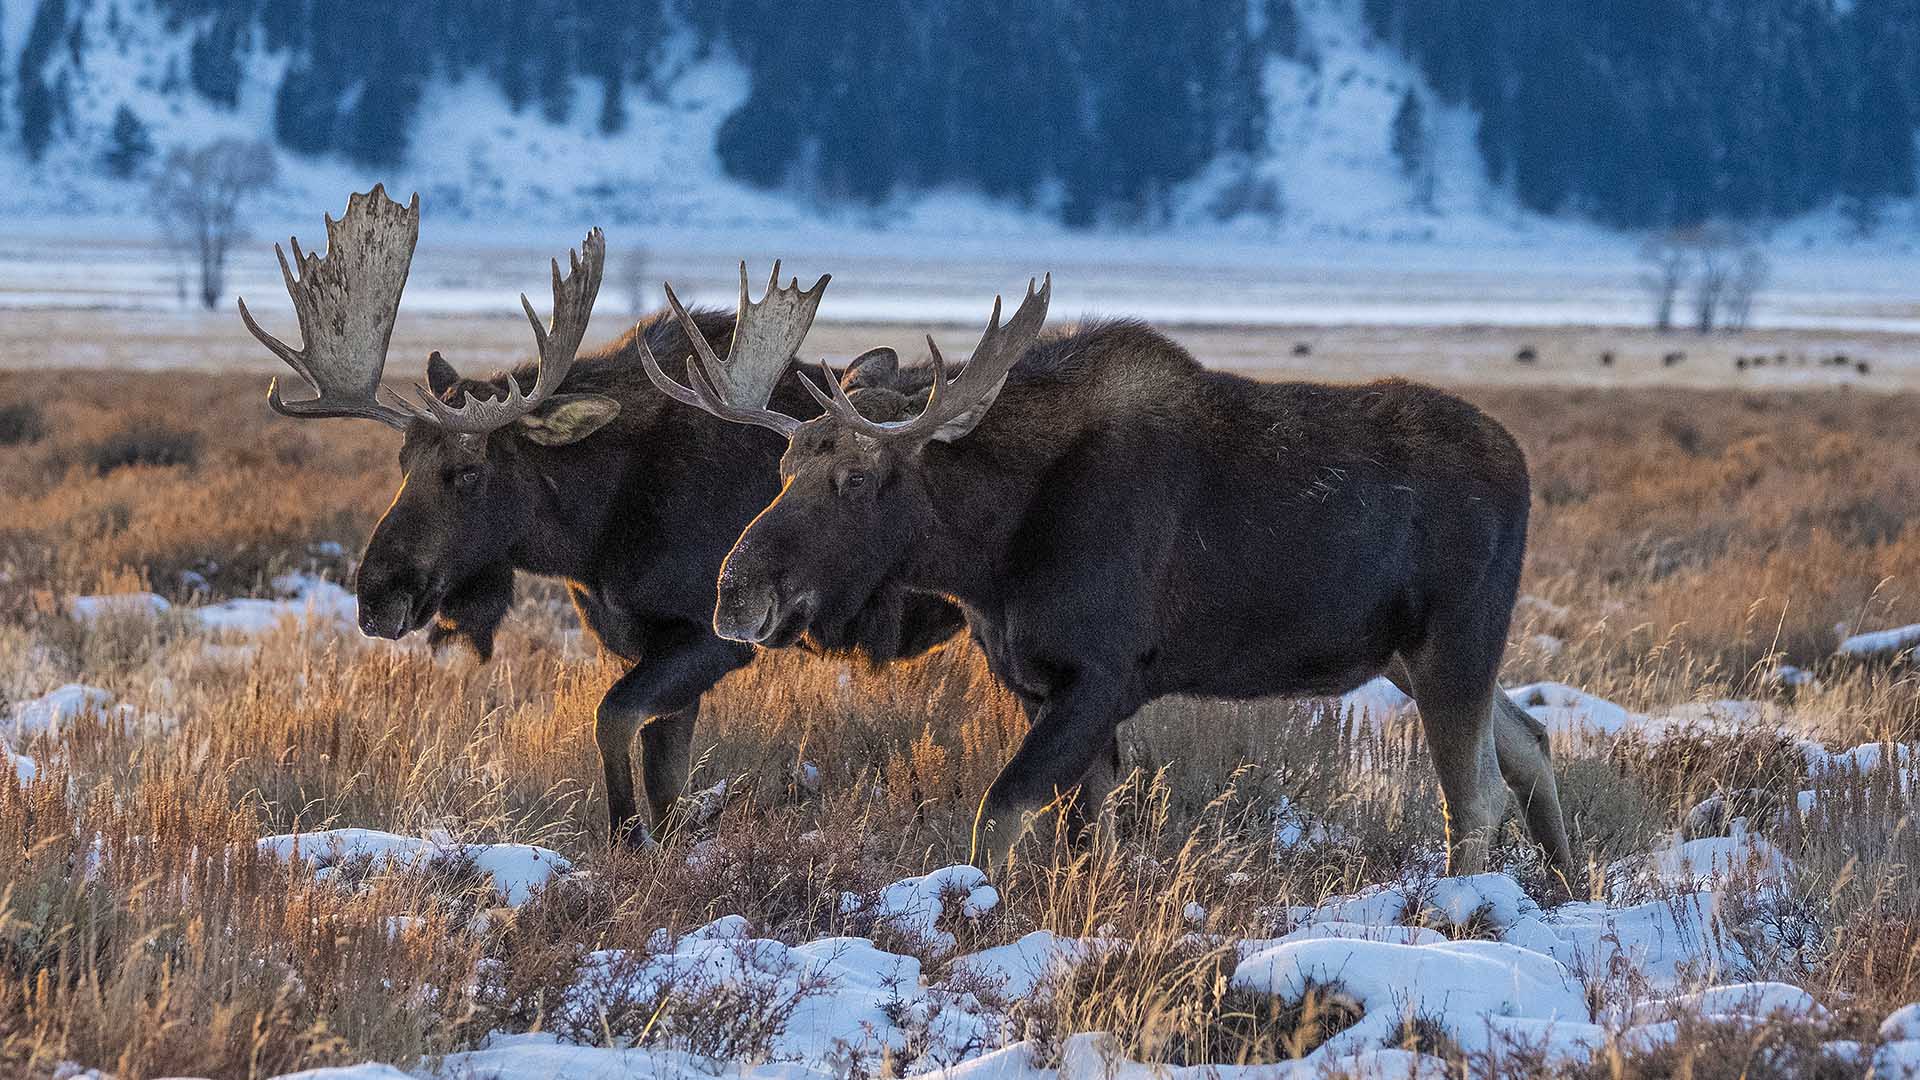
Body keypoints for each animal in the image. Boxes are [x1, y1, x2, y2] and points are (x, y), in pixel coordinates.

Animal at [236, 184, 960, 841]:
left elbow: (611, 722)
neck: (595, 535)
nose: (376, 596)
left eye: (469, 472)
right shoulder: (651, 643)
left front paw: (626, 835)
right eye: (402, 462)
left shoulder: (714, 634)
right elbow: (664, 780)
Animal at [645, 272, 1574, 880]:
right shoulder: (1035, 680)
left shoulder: (1104, 674)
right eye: (782, 469)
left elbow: (1002, 814)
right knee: (1530, 742)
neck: (992, 555)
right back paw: (1563, 889)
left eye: (858, 477)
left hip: (1455, 640)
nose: (735, 591)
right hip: (1411, 656)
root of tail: (1524, 468)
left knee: (1477, 793)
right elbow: (1083, 836)